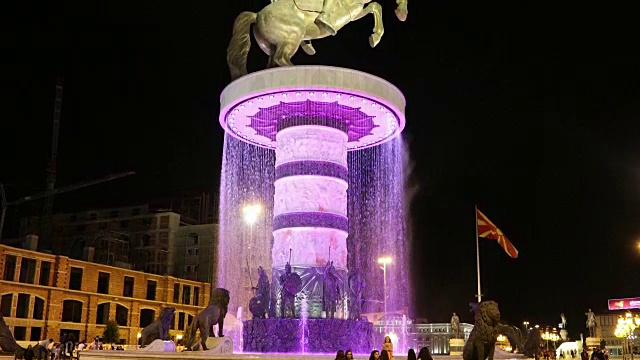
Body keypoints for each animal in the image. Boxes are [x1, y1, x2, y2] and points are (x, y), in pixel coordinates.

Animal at [228, 0, 408, 79]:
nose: (402, 13)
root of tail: (257, 15)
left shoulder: (353, 12)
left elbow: (375, 6)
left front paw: (375, 36)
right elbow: (376, 6)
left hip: (274, 45)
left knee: (273, 63)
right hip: (294, 34)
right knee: (281, 58)